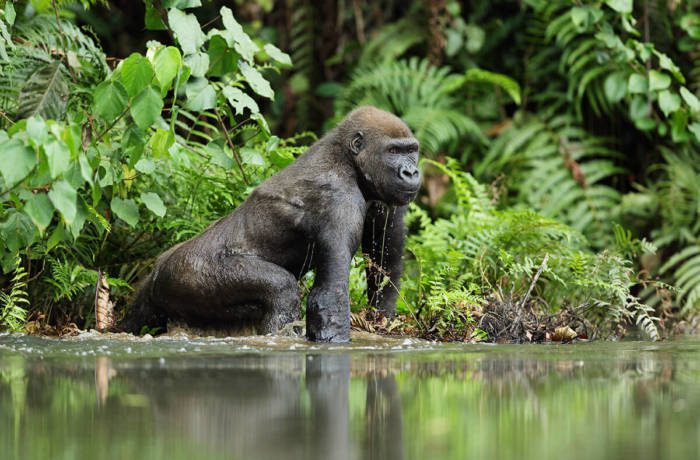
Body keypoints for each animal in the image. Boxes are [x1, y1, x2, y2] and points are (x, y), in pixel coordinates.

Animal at [120, 105, 422, 342]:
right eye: (393, 150)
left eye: (412, 150)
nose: (411, 172)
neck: (347, 158)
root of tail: (156, 271)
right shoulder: (339, 198)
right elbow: (329, 297)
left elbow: (384, 263)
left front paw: (381, 319)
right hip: (187, 275)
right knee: (282, 290)